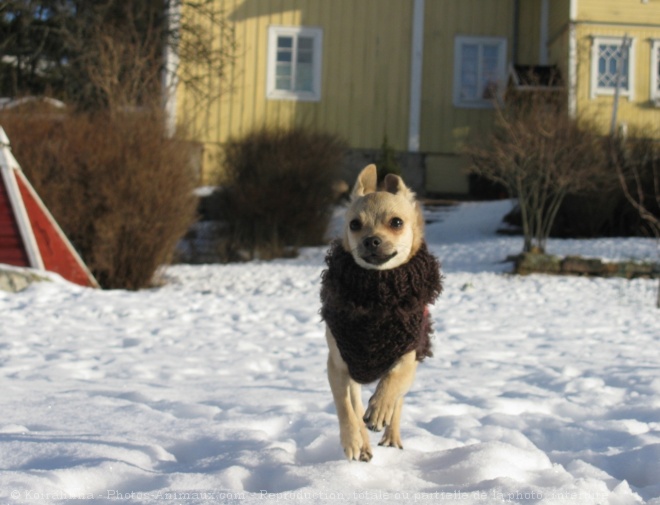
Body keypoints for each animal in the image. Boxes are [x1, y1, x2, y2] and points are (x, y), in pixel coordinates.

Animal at [320, 164, 444, 460]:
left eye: (396, 223)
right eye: (354, 224)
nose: (371, 241)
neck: (377, 293)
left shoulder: (408, 355)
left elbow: (393, 380)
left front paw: (379, 408)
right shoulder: (338, 365)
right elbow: (345, 407)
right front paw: (354, 440)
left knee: (398, 401)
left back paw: (391, 435)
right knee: (354, 405)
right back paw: (363, 442)